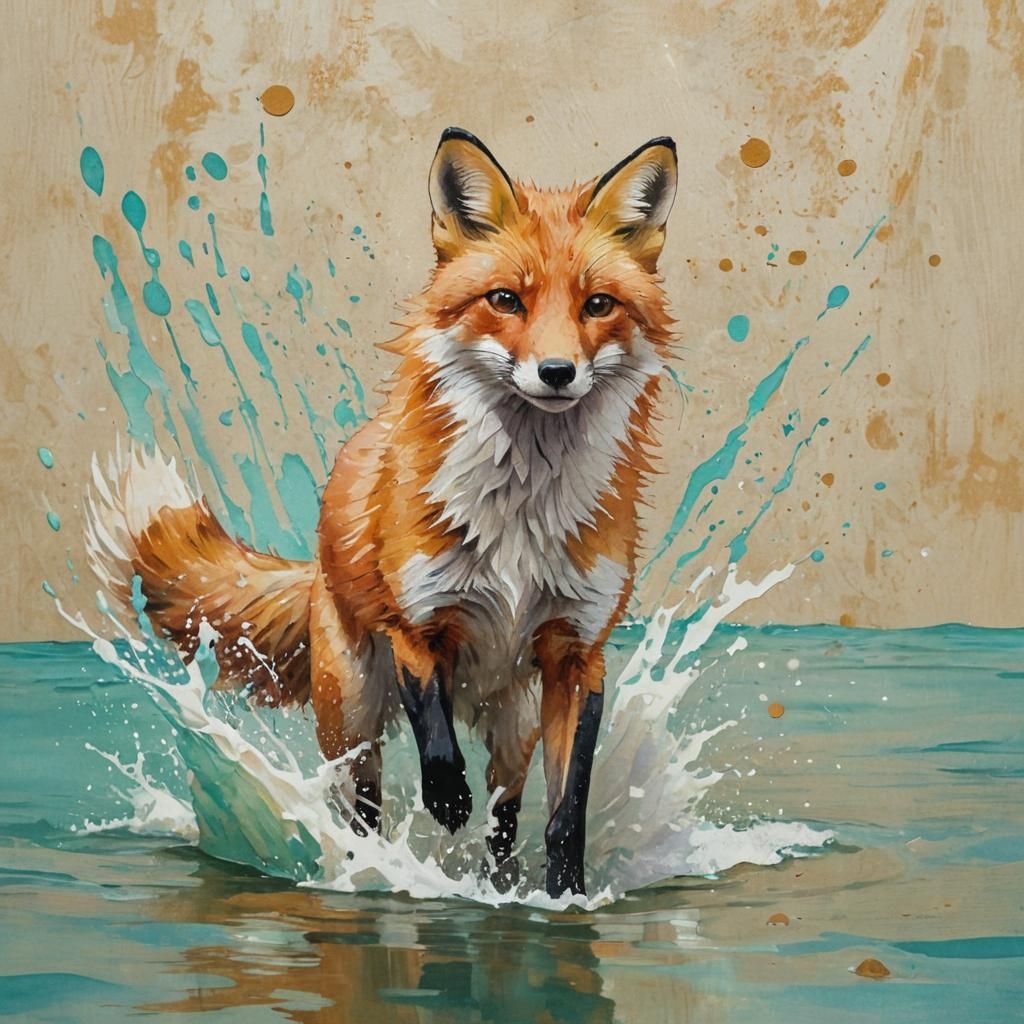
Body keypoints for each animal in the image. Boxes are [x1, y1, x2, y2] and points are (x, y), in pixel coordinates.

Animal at [87, 128, 677, 897]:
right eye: (505, 300)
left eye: (599, 305)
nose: (556, 373)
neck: (522, 517)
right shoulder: (416, 623)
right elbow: (434, 732)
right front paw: (445, 801)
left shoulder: (578, 655)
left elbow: (567, 809)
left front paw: (568, 897)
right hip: (352, 720)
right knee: (361, 812)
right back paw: (368, 871)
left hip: (514, 726)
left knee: (505, 819)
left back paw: (497, 884)